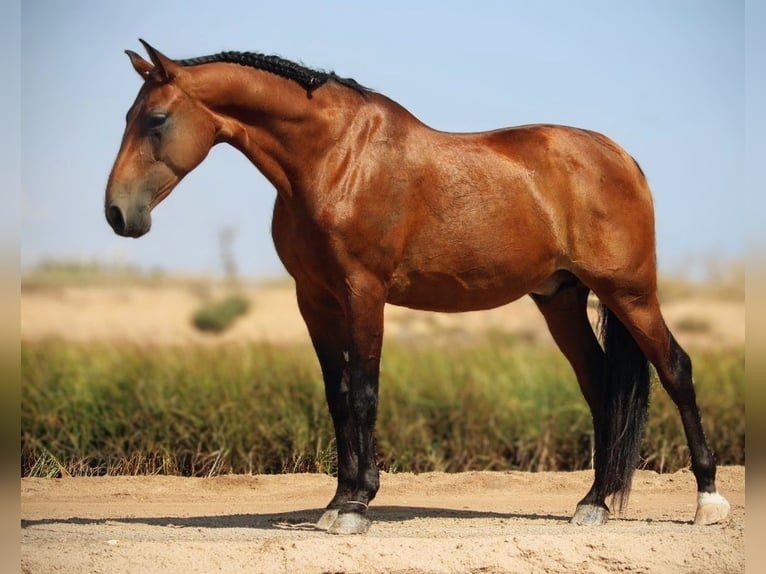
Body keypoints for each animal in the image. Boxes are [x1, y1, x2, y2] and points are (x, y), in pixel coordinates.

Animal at [105, 40, 730, 534]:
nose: (117, 213)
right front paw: (337, 500)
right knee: (601, 385)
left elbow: (364, 393)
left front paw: (356, 505)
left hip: (630, 293)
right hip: (562, 298)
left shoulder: (363, 291)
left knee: (676, 370)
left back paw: (707, 501)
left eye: (156, 119)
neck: (334, 158)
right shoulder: (316, 299)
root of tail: (620, 157)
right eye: (128, 115)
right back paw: (593, 502)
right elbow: (337, 397)